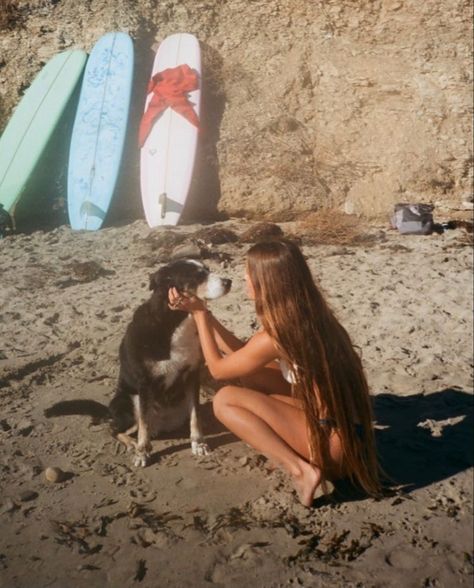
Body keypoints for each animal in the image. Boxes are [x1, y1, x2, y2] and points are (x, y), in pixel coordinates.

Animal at [45, 260, 231, 466]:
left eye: (207, 269)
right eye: (198, 275)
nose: (229, 282)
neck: (174, 322)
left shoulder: (192, 376)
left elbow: (195, 416)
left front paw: (198, 443)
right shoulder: (145, 383)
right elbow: (144, 423)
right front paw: (142, 452)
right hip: (128, 401)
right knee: (115, 429)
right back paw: (132, 443)